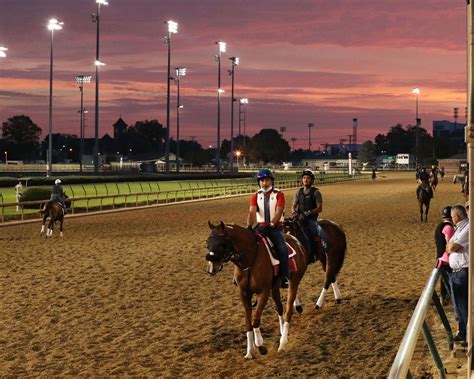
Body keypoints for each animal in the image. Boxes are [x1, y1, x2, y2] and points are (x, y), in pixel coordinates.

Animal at [206, 221, 310, 358]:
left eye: (221, 244)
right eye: (207, 244)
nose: (211, 268)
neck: (250, 260)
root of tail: (297, 242)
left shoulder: (263, 292)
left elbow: (255, 320)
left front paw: (260, 346)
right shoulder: (244, 293)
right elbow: (248, 322)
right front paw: (249, 351)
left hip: (294, 282)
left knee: (288, 310)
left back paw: (282, 343)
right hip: (275, 288)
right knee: (279, 308)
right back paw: (282, 332)